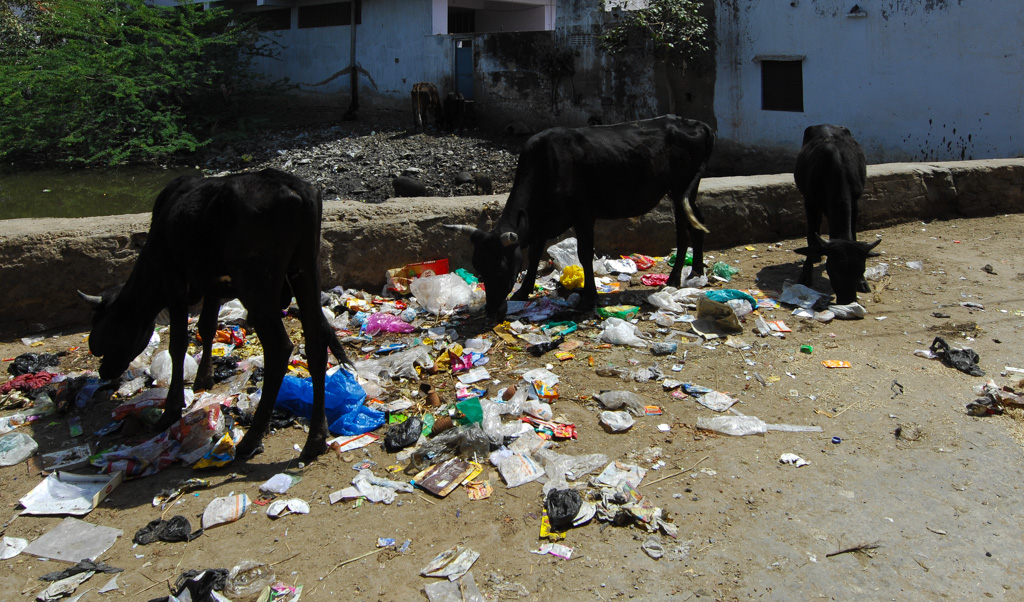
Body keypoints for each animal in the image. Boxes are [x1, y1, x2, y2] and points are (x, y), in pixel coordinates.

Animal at [80, 167, 352, 460]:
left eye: (102, 324)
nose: (105, 371)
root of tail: (295, 187)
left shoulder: (173, 277)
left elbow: (178, 342)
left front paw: (171, 409)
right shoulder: (211, 284)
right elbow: (206, 326)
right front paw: (204, 377)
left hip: (254, 281)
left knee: (279, 347)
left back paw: (252, 438)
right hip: (305, 269)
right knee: (316, 341)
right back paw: (315, 438)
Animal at [444, 114, 716, 319]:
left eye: (501, 267)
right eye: (478, 267)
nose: (491, 310)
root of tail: (695, 122)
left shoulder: (583, 214)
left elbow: (585, 254)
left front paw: (588, 297)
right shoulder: (540, 224)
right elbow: (534, 255)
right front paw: (524, 291)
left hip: (681, 189)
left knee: (685, 229)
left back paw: (676, 277)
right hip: (683, 192)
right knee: (695, 224)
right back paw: (695, 272)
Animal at [790, 123, 880, 303]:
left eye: (860, 270)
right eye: (833, 270)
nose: (847, 300)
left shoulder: (855, 202)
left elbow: (854, 233)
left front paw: (863, 282)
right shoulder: (810, 203)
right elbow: (812, 237)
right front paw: (805, 274)